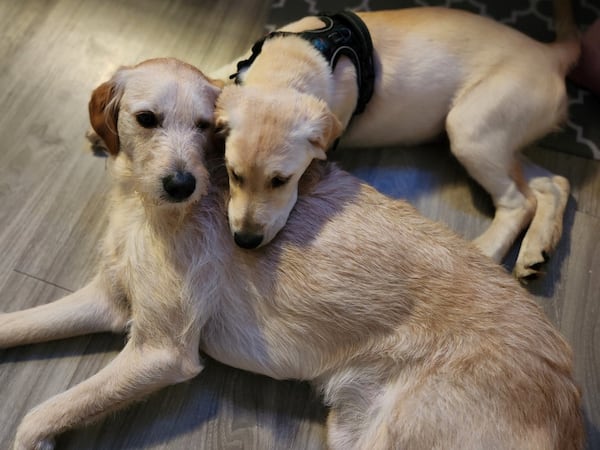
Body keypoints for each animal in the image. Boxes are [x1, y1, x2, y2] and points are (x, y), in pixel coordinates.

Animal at [1, 59, 580, 450]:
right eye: (146, 119)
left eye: (206, 127)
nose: (182, 185)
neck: (144, 205)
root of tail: (569, 393)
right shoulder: (109, 300)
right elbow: (16, 324)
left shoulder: (160, 351)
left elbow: (43, 412)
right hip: (350, 429)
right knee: (547, 182)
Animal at [213, 2, 580, 282]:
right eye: (233, 174)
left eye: (281, 180)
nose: (245, 240)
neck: (291, 64)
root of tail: (549, 53)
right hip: (496, 137)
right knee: (553, 183)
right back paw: (536, 251)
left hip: (469, 128)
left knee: (521, 200)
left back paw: (485, 254)